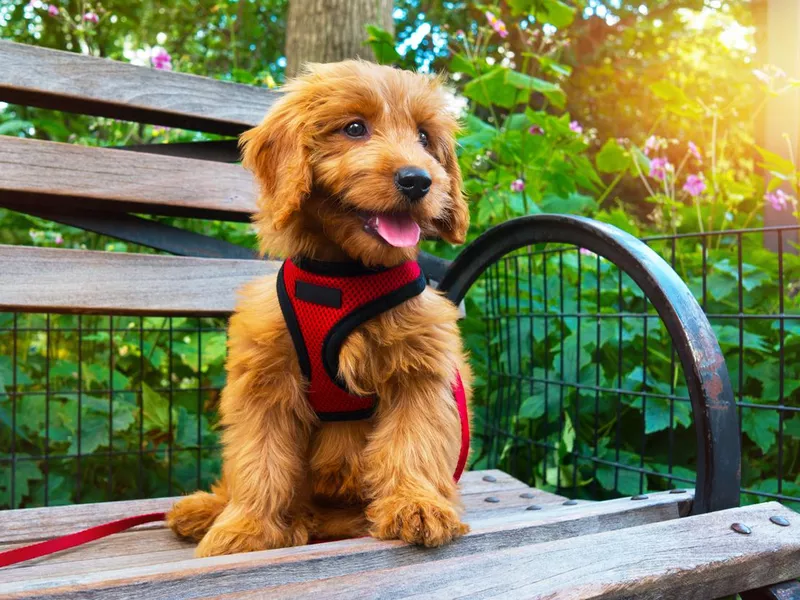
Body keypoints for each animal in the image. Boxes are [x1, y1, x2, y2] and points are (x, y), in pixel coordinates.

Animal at [166, 61, 472, 556]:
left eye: (425, 137)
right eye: (354, 128)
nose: (418, 180)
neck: (345, 275)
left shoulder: (419, 373)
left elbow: (412, 443)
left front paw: (417, 505)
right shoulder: (266, 380)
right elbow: (259, 460)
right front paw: (246, 528)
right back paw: (208, 510)